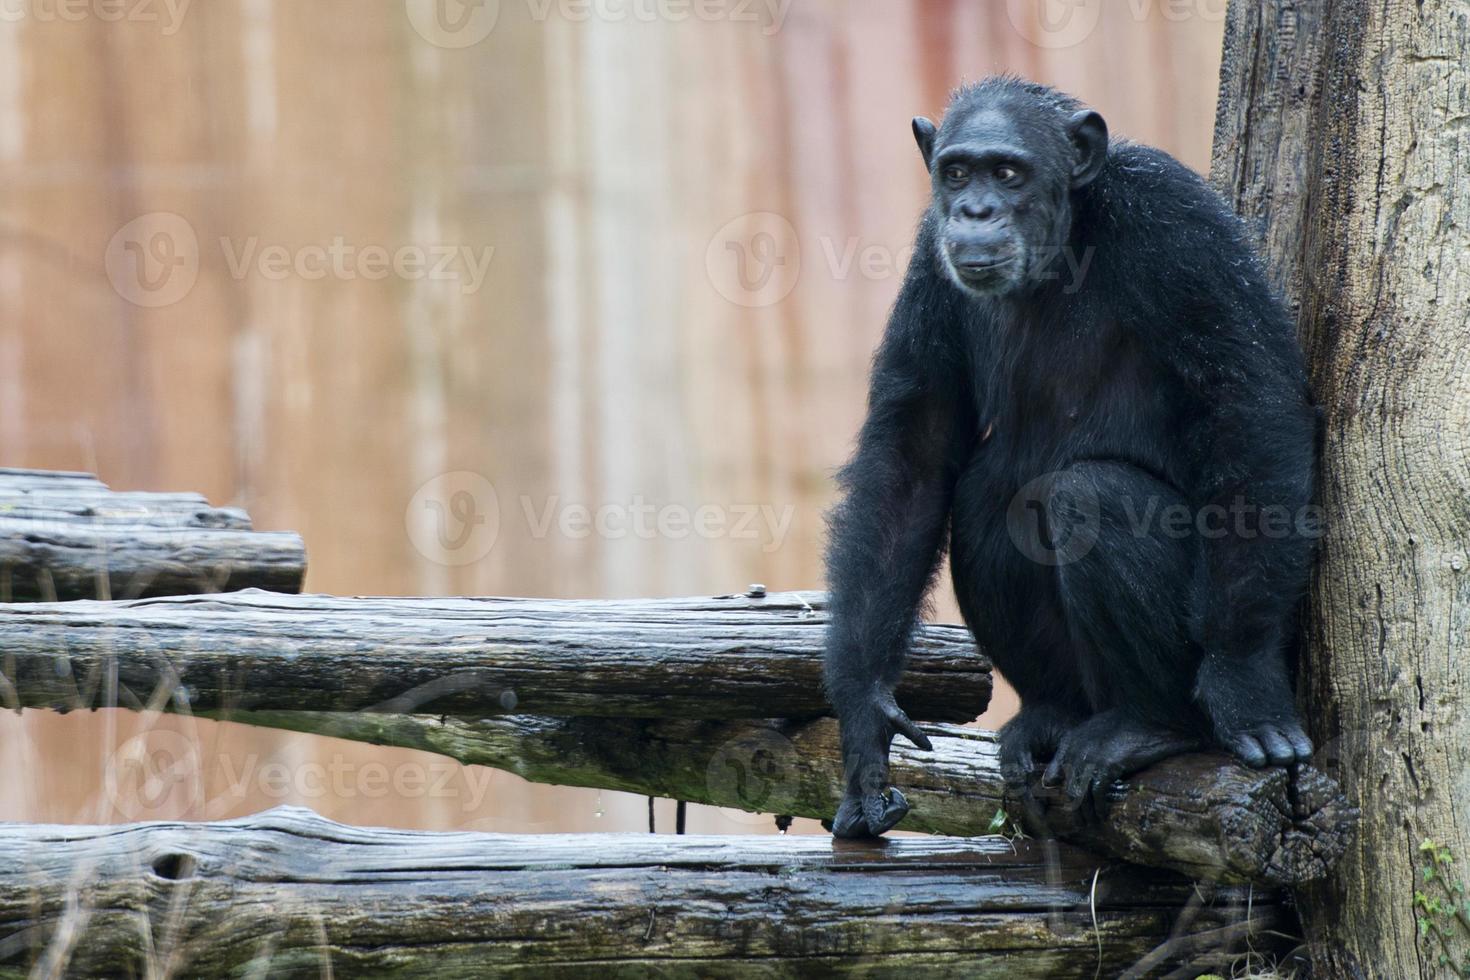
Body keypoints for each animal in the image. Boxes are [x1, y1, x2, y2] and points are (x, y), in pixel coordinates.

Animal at [823, 78, 1317, 846]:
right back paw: (1050, 715)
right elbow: (913, 452)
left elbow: (1245, 406)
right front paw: (865, 723)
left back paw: (1152, 725)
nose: (975, 210)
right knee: (990, 497)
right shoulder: (929, 261)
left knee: (1090, 496)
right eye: (956, 173)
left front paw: (1244, 680)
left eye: (1008, 172)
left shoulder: (1182, 222)